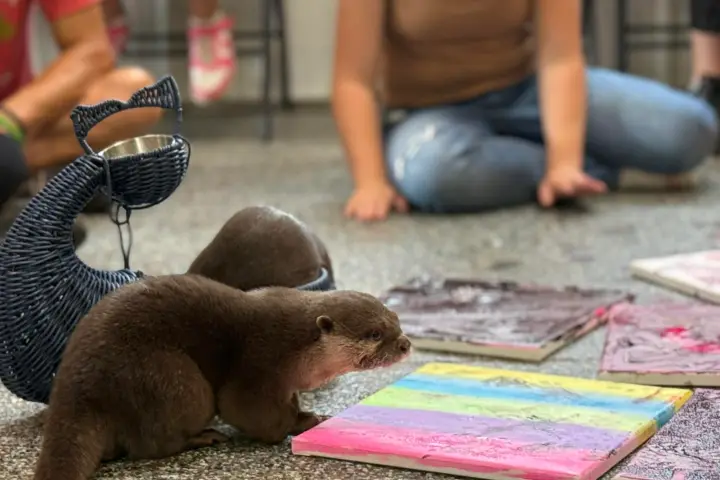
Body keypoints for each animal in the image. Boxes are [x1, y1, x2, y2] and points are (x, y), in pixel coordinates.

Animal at [33, 274, 409, 480]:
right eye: (375, 333)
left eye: (396, 320)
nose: (405, 344)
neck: (298, 350)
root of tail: (73, 384)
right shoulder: (260, 364)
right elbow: (246, 409)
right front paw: (302, 423)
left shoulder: (285, 382)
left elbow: (290, 401)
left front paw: (306, 412)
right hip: (166, 377)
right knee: (149, 445)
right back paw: (202, 437)